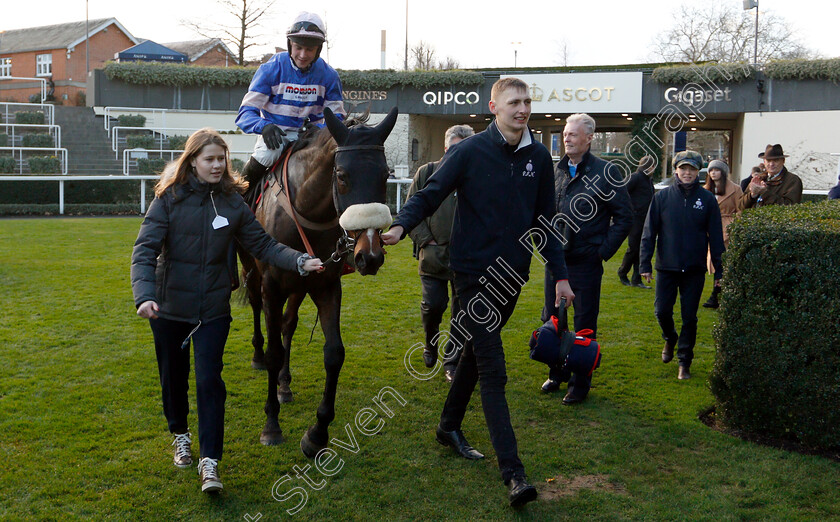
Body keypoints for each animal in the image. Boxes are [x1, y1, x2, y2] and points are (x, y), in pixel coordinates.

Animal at [235, 106, 396, 456]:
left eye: (386, 175)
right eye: (342, 176)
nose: (370, 256)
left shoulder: (325, 286)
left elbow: (334, 353)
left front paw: (317, 432)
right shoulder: (272, 287)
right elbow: (274, 350)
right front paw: (271, 426)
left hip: (300, 285)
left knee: (288, 324)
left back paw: (283, 384)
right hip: (252, 270)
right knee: (256, 309)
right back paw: (257, 358)